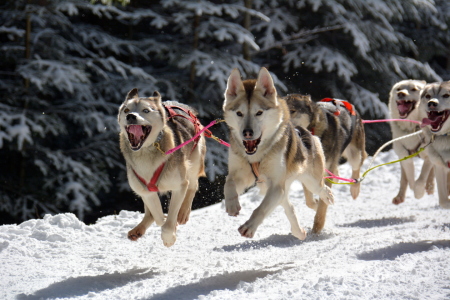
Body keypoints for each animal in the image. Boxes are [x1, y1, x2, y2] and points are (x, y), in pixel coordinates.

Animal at [117, 88, 207, 246]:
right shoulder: (146, 192)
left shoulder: (179, 186)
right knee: (149, 213)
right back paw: (138, 229)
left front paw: (169, 237)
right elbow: (158, 217)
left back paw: (183, 213)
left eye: (146, 110)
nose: (130, 116)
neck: (145, 152)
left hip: (193, 161)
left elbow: (169, 219)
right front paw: (166, 223)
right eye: (126, 109)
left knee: (193, 185)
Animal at [222, 67, 334, 238]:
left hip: (310, 181)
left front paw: (249, 226)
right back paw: (299, 231)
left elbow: (261, 209)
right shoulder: (241, 175)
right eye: (239, 113)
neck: (257, 155)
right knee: (289, 206)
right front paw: (232, 205)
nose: (247, 132)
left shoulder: (276, 185)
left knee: (323, 189)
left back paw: (327, 200)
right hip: (276, 189)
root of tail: (304, 131)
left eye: (259, 112)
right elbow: (228, 183)